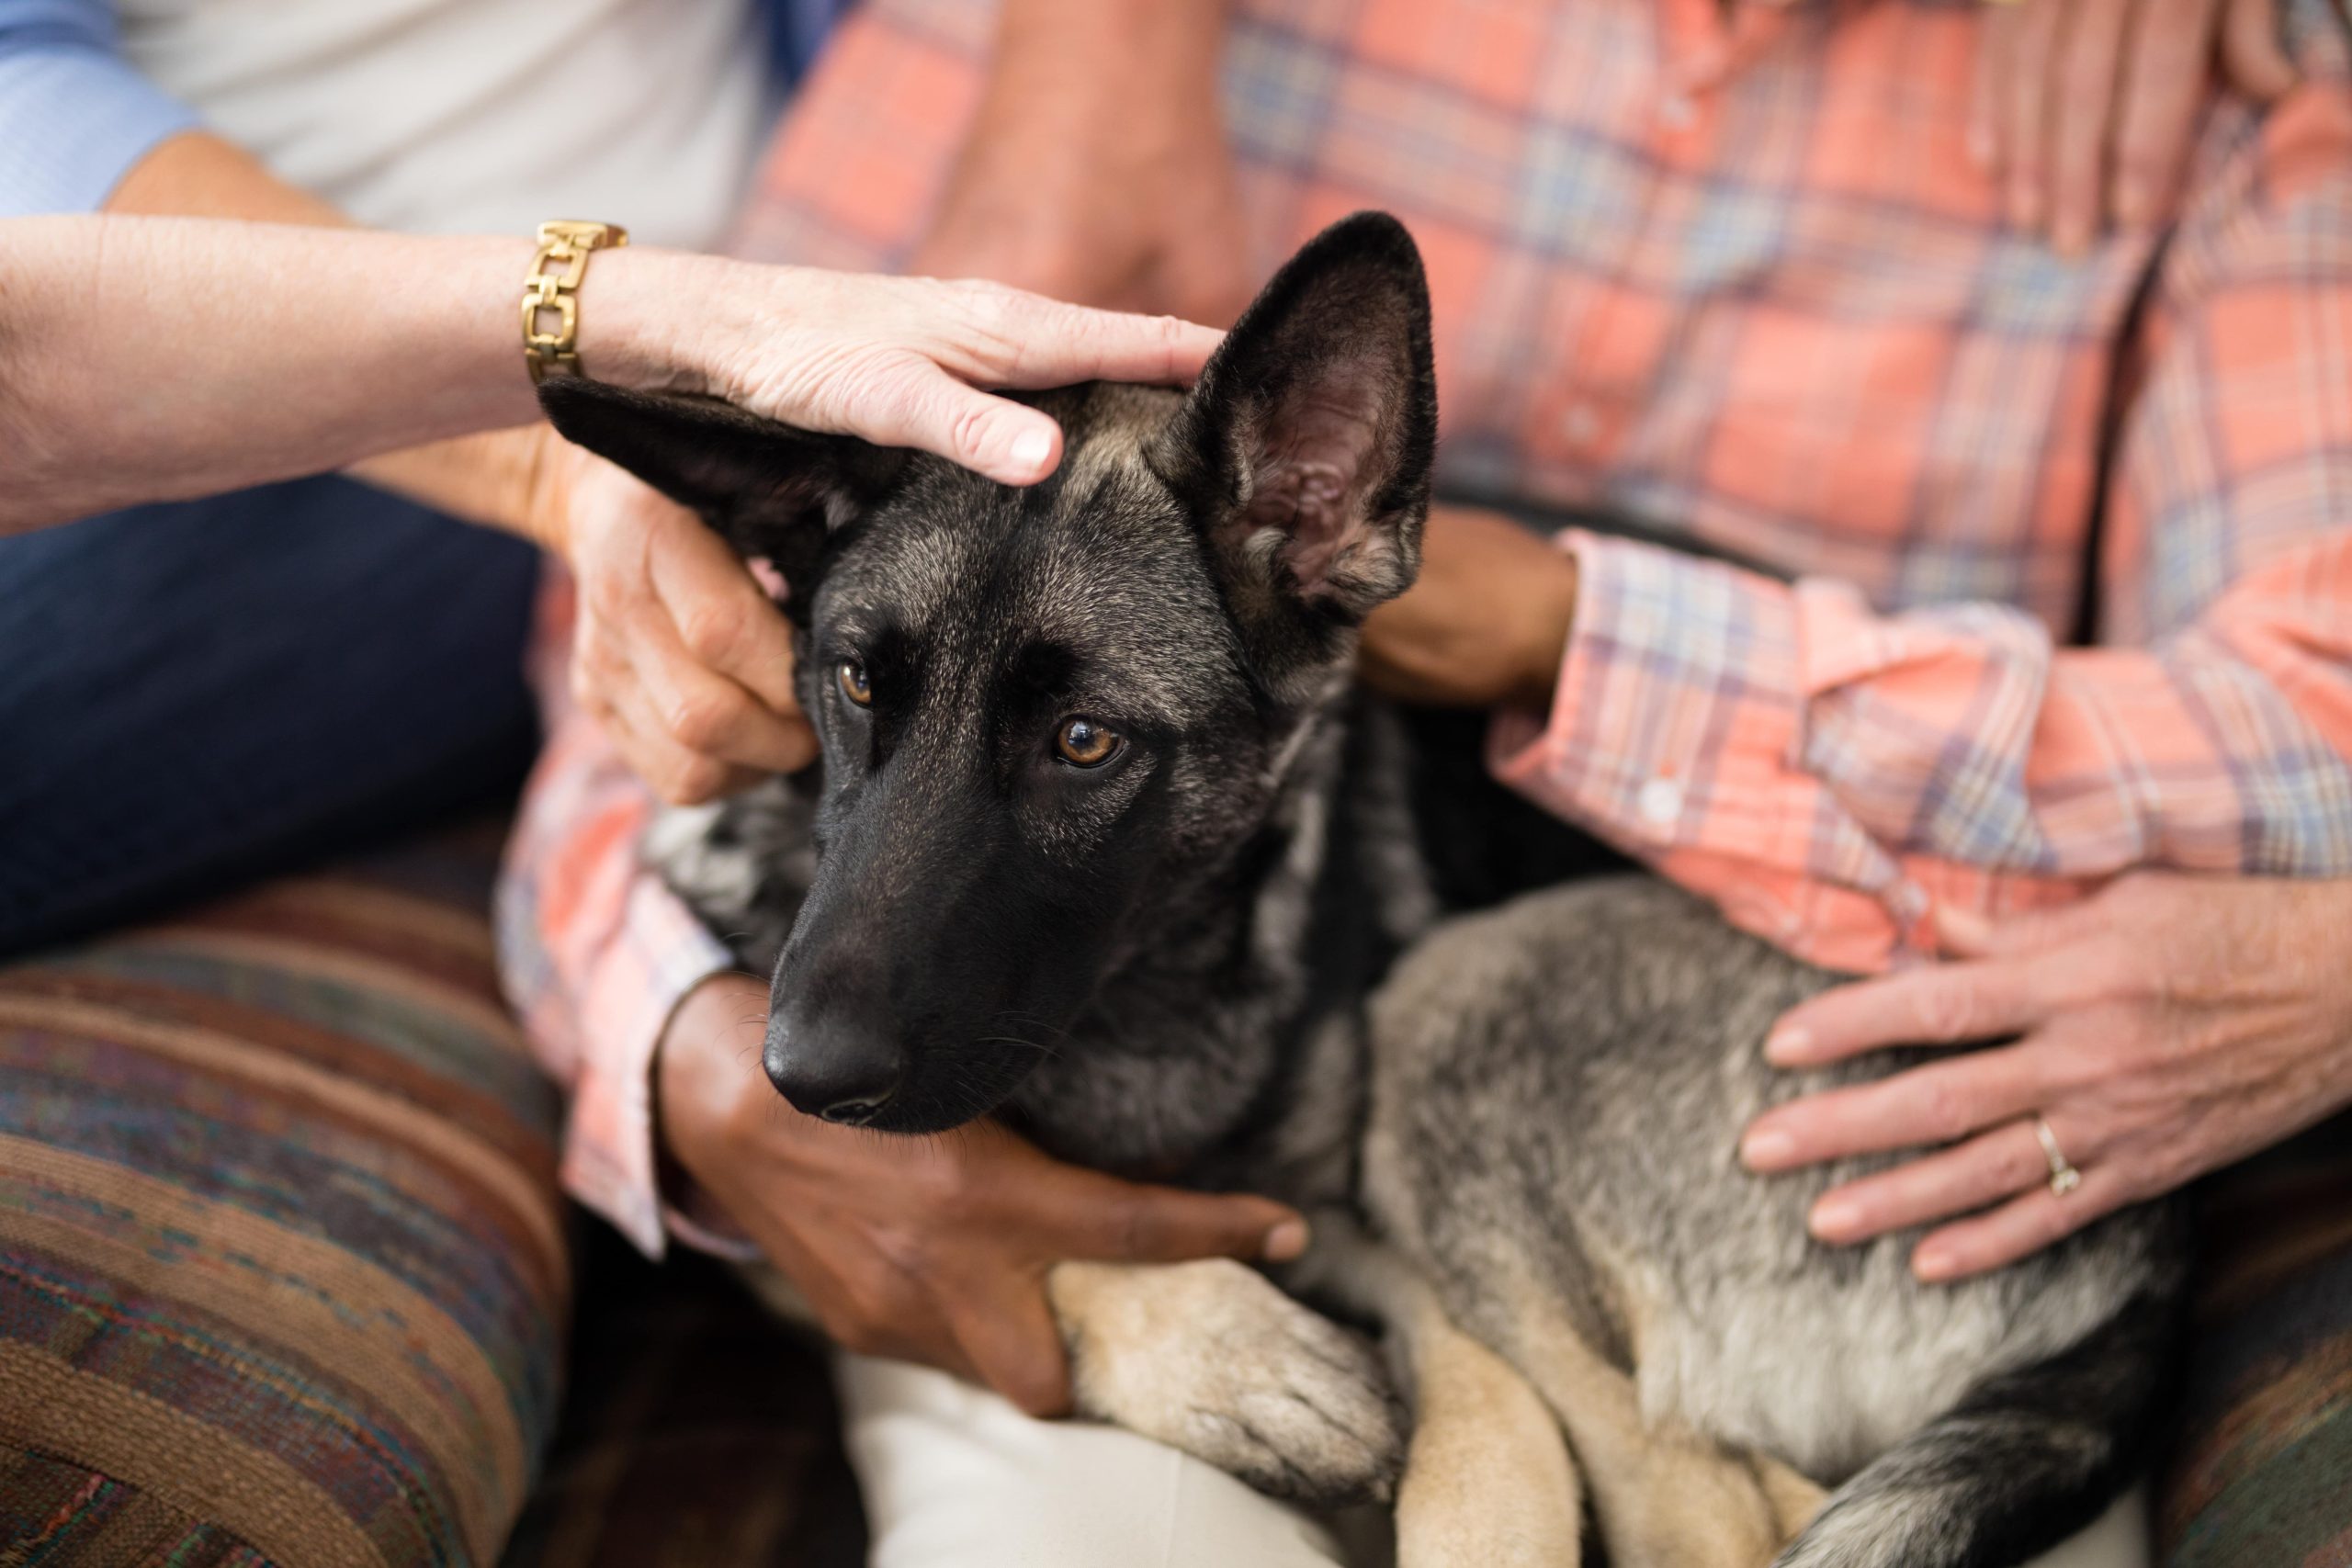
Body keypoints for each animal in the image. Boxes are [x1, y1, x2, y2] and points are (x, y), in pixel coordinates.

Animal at [540, 211, 2191, 1568]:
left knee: (1707, 1506)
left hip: (1462, 1002)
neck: (1149, 995)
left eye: (1085, 742)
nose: (799, 1075)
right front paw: (1227, 1349)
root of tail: (2156, 1241)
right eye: (855, 685)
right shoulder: (801, 1222)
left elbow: (1484, 1475)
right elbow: (977, 1221)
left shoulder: (1442, 1325)